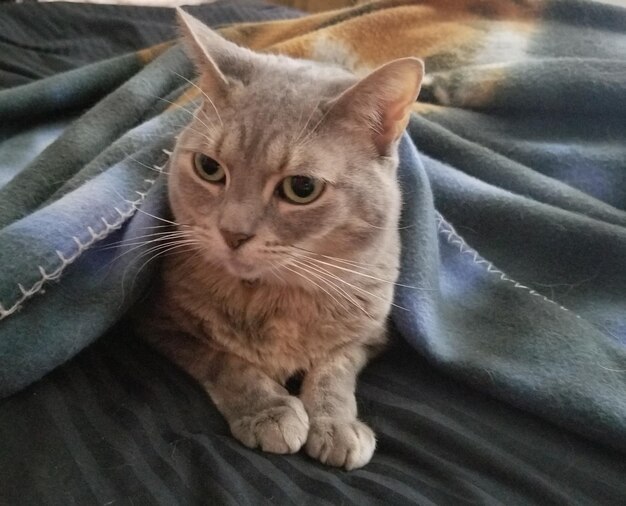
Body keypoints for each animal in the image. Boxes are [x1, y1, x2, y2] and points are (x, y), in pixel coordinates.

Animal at [136, 7, 420, 472]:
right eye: (209, 168)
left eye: (301, 188)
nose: (232, 232)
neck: (272, 297)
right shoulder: (160, 322)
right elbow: (223, 358)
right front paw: (268, 410)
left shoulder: (371, 334)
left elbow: (334, 369)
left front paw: (336, 424)